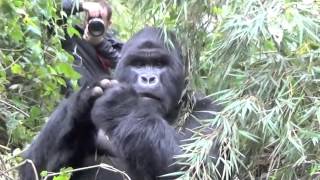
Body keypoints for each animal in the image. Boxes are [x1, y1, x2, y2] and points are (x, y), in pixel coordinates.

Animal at [18, 27, 221, 179]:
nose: (148, 78)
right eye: (138, 64)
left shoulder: (212, 112)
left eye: (159, 64)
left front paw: (122, 106)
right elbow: (34, 167)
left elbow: (198, 166)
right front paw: (83, 101)